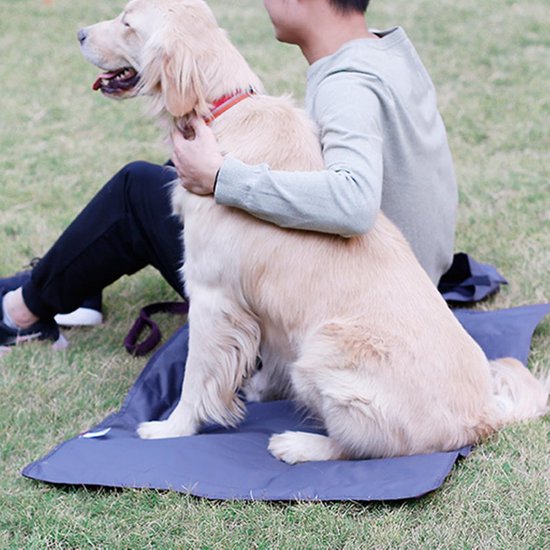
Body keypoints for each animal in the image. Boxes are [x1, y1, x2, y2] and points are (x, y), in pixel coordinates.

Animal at [80, 0, 548, 464]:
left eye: (127, 24)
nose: (80, 33)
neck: (223, 109)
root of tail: (483, 414)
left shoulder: (212, 296)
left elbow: (196, 376)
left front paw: (172, 429)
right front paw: (257, 389)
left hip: (324, 348)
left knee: (360, 447)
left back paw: (300, 445)